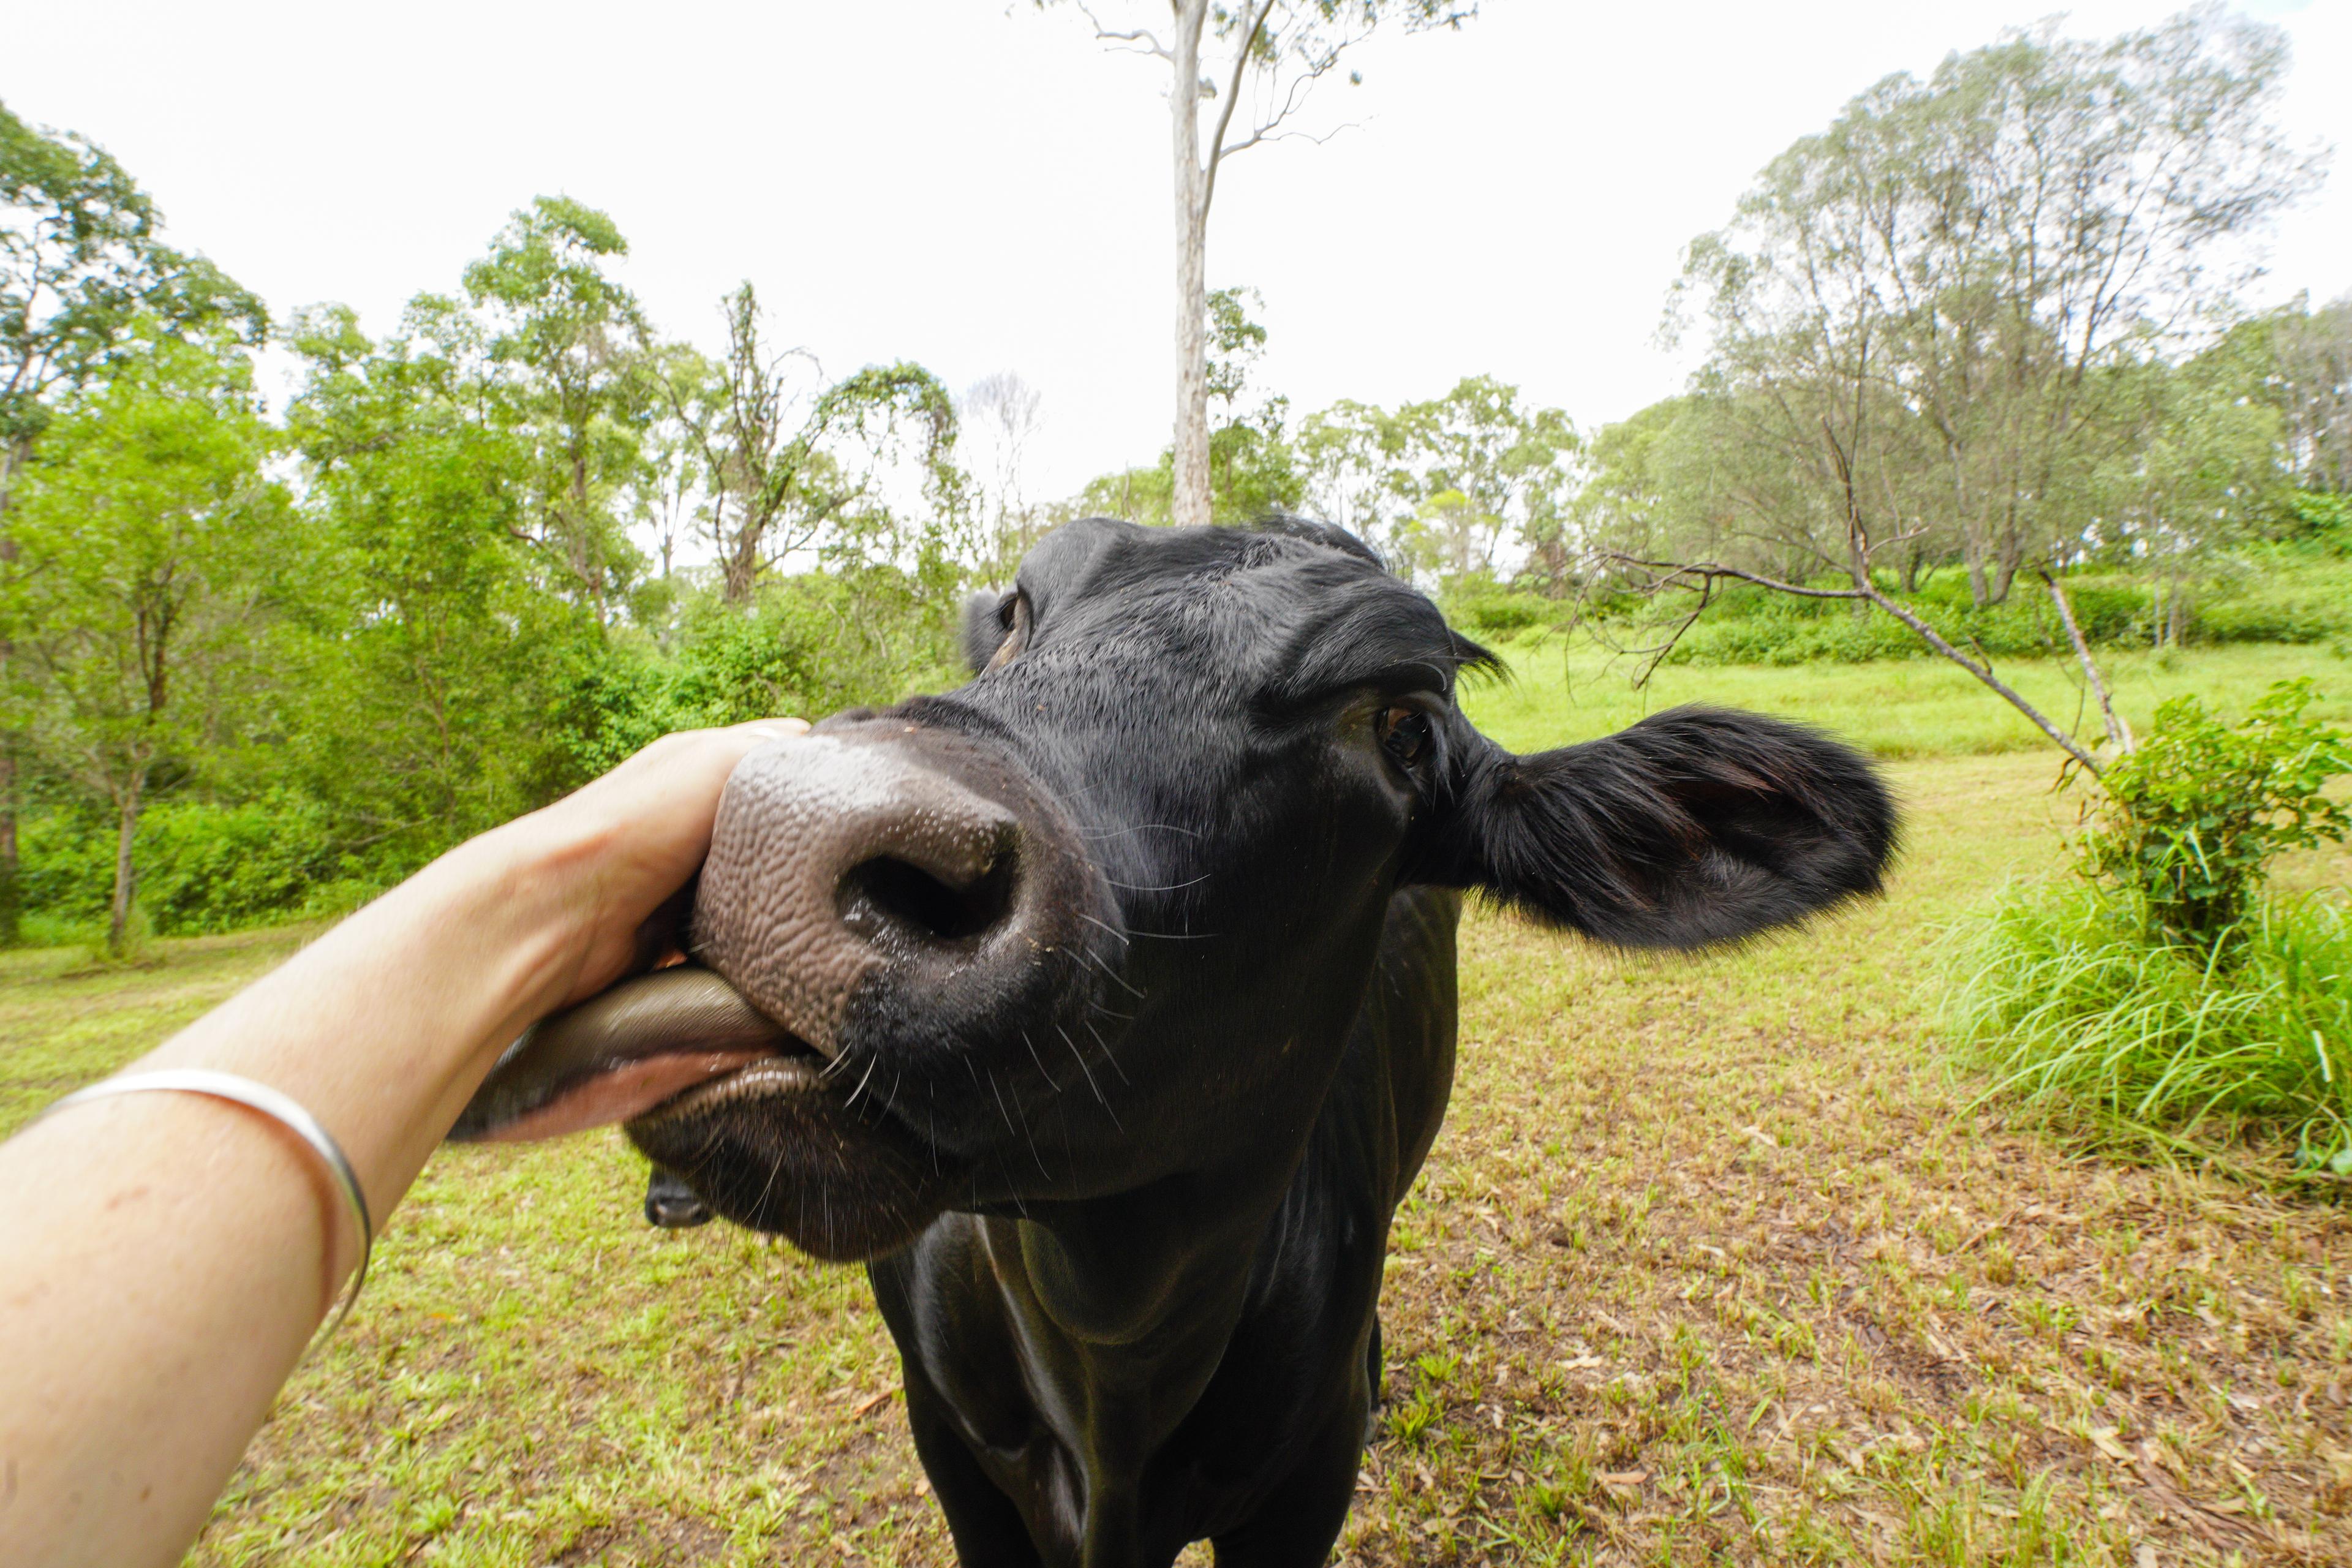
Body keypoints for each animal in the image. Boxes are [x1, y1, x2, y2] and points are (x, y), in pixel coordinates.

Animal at [454, 516, 1895, 1567]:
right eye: (1018, 616)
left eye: (1404, 730)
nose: (791, 822)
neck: (1113, 1371)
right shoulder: (953, 1448)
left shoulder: (1300, 1488)